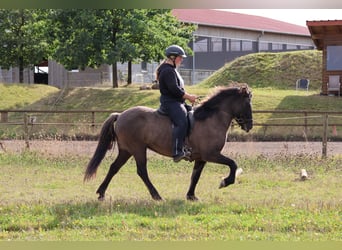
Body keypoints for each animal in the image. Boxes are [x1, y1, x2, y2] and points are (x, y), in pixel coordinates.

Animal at [84, 86, 252, 201]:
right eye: (247, 103)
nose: (249, 126)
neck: (210, 118)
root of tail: (120, 115)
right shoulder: (211, 154)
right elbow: (232, 163)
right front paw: (226, 181)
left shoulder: (201, 158)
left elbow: (195, 176)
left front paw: (191, 196)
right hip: (138, 149)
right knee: (142, 171)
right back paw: (156, 195)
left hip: (126, 150)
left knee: (114, 168)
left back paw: (101, 193)